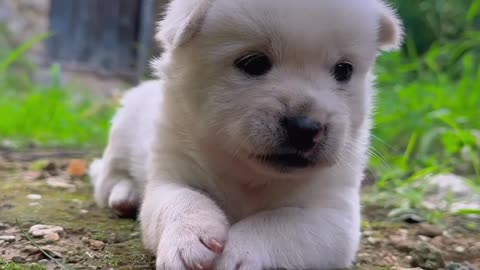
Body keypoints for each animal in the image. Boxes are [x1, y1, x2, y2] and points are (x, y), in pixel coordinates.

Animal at [89, 1, 402, 268]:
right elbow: (181, 199)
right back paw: (126, 194)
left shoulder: (334, 216)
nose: (306, 128)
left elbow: (280, 221)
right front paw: (188, 239)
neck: (250, 175)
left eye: (343, 70)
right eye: (253, 63)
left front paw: (241, 251)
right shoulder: (171, 173)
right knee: (107, 176)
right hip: (122, 131)